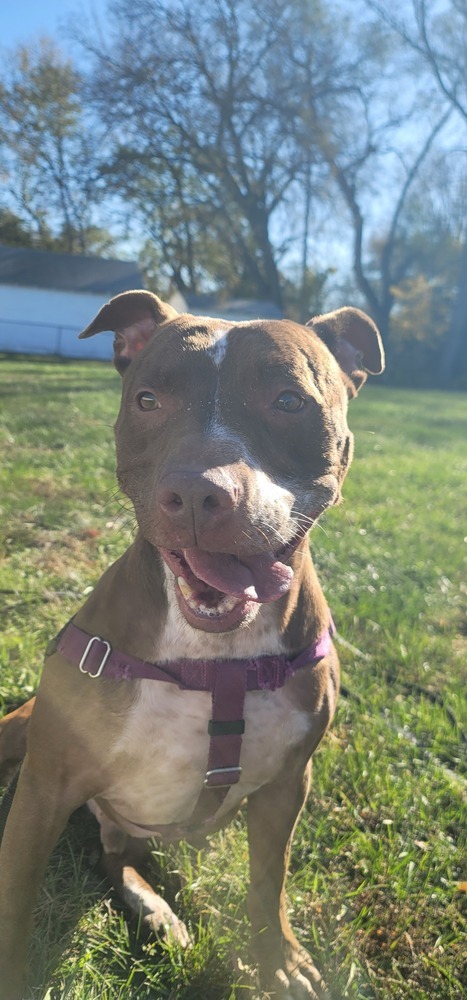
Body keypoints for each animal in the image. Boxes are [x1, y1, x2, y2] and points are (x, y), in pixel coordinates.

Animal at [0, 292, 384, 1000]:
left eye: (289, 401)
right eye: (149, 399)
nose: (200, 493)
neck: (215, 662)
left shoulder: (288, 785)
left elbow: (268, 881)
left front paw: (277, 959)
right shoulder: (45, 786)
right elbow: (15, 901)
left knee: (115, 858)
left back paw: (156, 911)